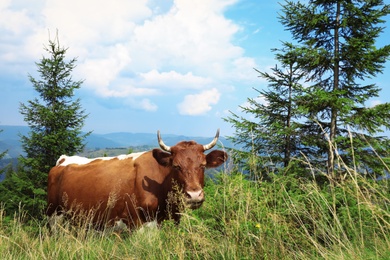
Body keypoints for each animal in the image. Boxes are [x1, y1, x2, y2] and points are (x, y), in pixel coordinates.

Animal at [46, 129, 227, 229]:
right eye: (176, 166)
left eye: (203, 165)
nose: (194, 195)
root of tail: (63, 160)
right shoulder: (136, 223)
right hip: (54, 217)